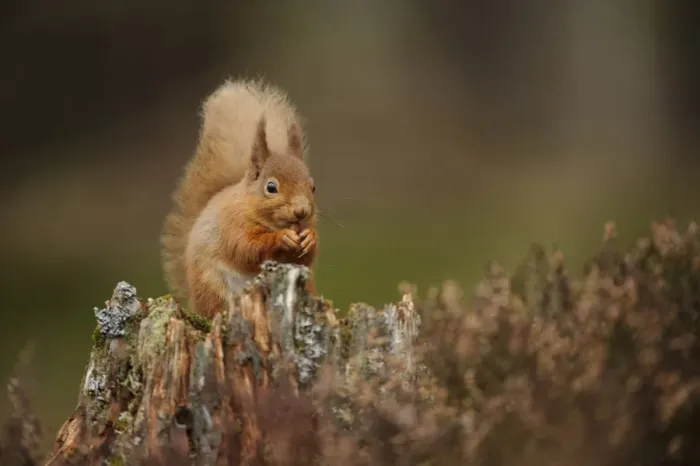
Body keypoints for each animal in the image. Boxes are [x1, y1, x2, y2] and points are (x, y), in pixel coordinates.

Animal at [160, 78, 319, 318]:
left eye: (313, 187)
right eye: (271, 187)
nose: (301, 211)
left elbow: (304, 259)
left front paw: (310, 238)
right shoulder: (232, 223)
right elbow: (245, 248)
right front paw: (281, 237)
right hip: (212, 286)